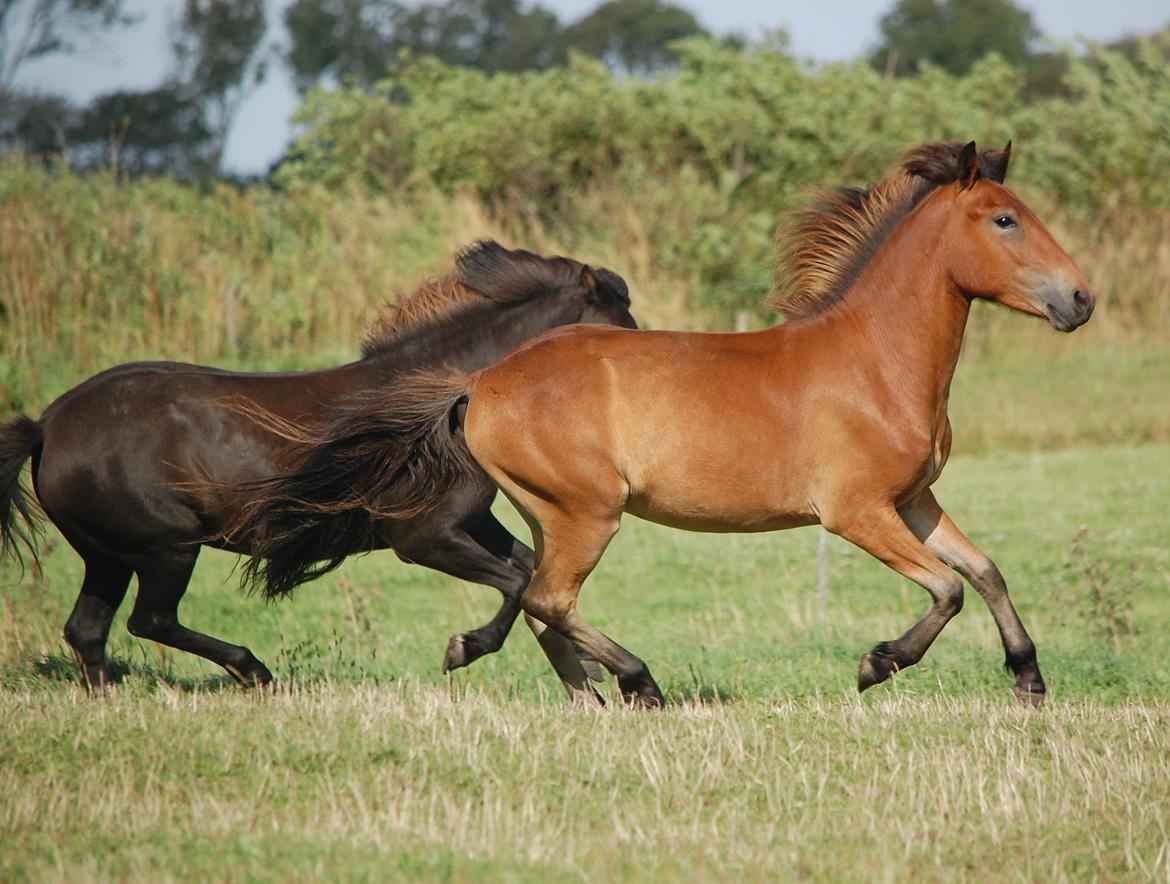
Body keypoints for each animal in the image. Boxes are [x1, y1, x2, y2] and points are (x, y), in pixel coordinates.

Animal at [0, 239, 636, 692]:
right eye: (618, 323)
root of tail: (48, 425)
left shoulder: (470, 522)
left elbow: (528, 571)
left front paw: (589, 667)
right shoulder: (422, 538)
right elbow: (518, 583)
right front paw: (464, 649)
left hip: (107, 553)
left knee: (88, 630)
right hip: (165, 547)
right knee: (149, 621)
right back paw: (253, 671)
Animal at [232, 143, 1090, 706]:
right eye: (1005, 220)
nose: (1081, 298)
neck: (873, 361)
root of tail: (478, 382)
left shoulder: (913, 500)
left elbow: (986, 571)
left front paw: (1029, 678)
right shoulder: (856, 513)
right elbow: (946, 588)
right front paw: (876, 664)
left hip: (549, 514)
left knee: (533, 593)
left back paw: (550, 676)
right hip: (589, 514)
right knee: (548, 599)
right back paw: (635, 681)